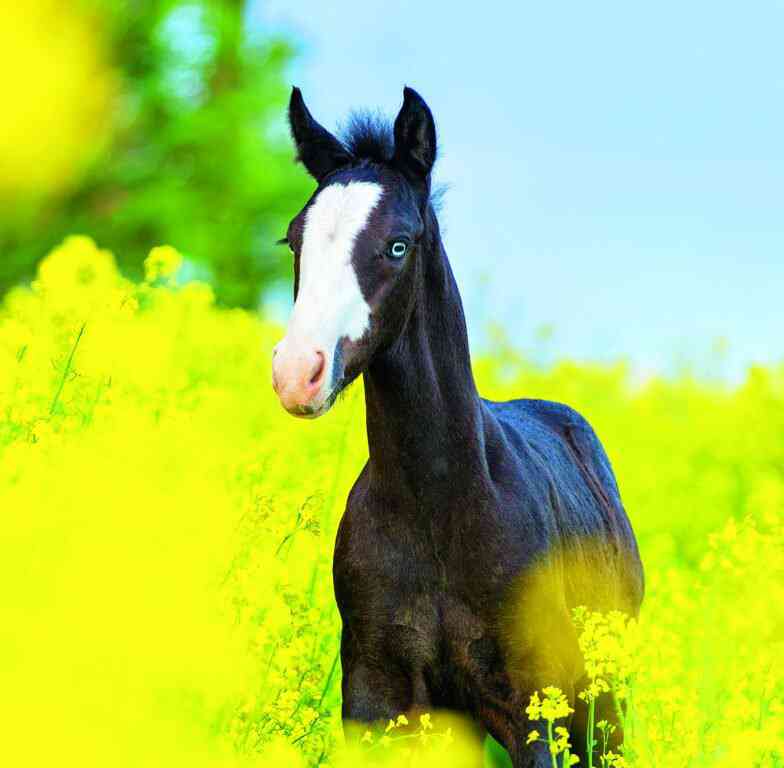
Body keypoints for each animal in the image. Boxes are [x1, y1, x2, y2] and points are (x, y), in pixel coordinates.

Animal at [271, 86, 644, 767]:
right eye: (293, 242)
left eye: (397, 245)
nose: (297, 373)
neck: (438, 501)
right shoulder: (376, 701)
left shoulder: (532, 706)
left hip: (605, 705)